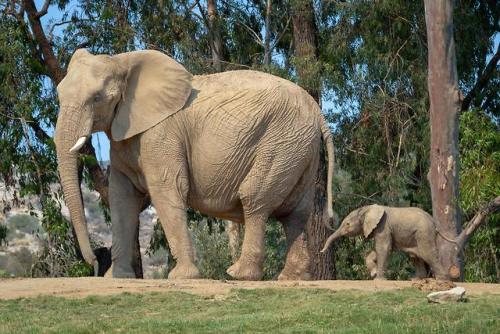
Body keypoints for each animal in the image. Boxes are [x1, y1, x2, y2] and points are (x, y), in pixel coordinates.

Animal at [53, 49, 336, 280]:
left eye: (97, 98)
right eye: (58, 94)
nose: (94, 263)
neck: (122, 61)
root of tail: (318, 113)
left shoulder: (161, 135)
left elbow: (166, 190)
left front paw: (182, 277)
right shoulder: (125, 139)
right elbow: (122, 198)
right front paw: (116, 277)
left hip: (281, 144)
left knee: (255, 199)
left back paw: (238, 274)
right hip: (299, 150)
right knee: (296, 213)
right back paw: (291, 278)